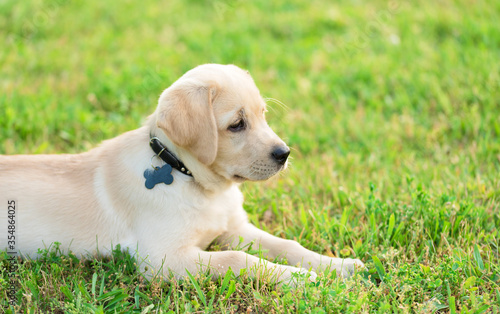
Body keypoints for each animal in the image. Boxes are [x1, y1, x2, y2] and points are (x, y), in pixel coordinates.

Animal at [1, 63, 366, 284]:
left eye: (263, 114)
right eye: (237, 124)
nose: (284, 154)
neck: (191, 179)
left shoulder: (233, 229)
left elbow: (287, 244)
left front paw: (338, 266)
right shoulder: (162, 259)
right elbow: (238, 259)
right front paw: (300, 278)